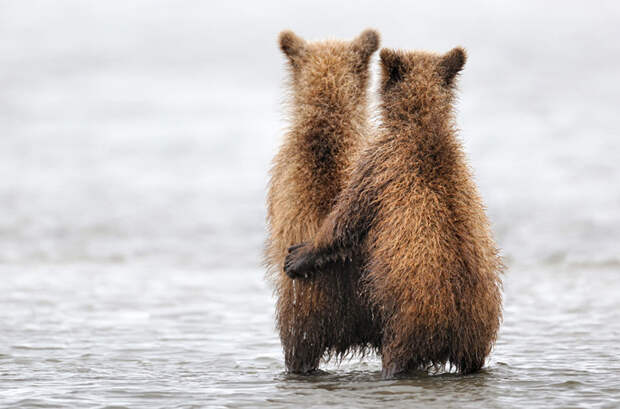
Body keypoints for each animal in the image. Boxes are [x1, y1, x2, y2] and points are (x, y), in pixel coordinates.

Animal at [286, 46, 504, 374]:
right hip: (477, 333)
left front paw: (299, 254)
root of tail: (457, 326)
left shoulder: (378, 165)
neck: (421, 124)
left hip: (408, 321)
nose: (293, 257)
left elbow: (347, 219)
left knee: (396, 356)